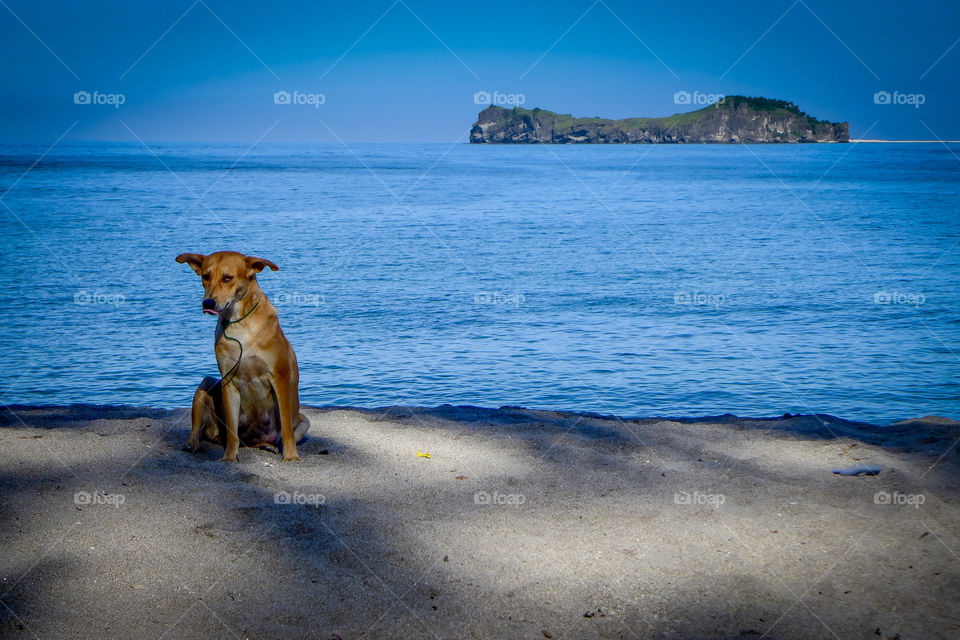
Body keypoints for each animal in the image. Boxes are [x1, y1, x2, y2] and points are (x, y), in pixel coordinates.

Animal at [173, 249, 308, 460]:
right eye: (206, 276)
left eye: (228, 278)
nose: (208, 302)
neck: (239, 323)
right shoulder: (228, 381)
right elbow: (231, 430)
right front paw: (229, 458)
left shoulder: (280, 377)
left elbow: (286, 427)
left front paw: (291, 456)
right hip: (206, 384)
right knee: (201, 427)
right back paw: (192, 443)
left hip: (302, 420)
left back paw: (269, 446)